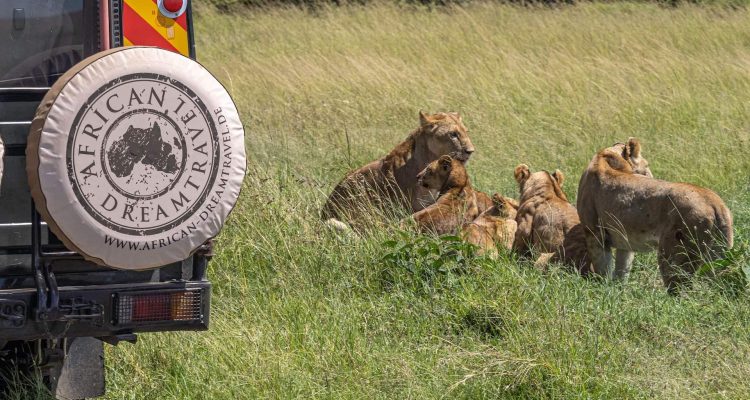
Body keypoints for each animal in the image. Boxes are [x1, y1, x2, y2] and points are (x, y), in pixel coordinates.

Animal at [577, 137, 733, 293]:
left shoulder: (594, 234)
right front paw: (617, 290)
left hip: (674, 255)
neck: (606, 156)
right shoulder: (624, 241)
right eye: (646, 166)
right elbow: (622, 270)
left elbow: (603, 270)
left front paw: (604, 289)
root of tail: (715, 202)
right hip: (717, 255)